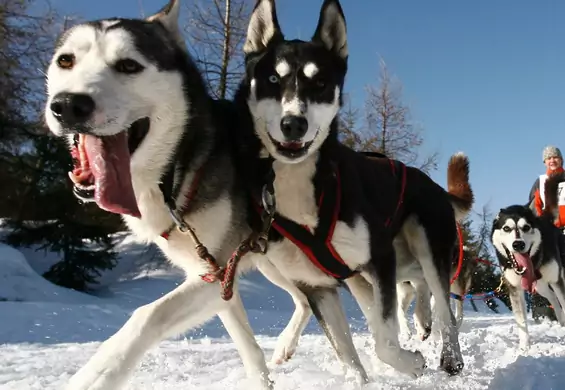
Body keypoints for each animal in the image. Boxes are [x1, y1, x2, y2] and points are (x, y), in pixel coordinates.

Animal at [42, 1, 316, 388]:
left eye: (129, 65)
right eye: (65, 61)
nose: (67, 105)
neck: (174, 172)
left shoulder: (215, 275)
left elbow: (146, 315)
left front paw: (99, 373)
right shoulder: (217, 278)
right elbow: (249, 351)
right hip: (271, 263)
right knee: (304, 300)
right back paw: (285, 345)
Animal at [236, 0, 474, 380]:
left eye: (320, 82)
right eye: (273, 78)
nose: (293, 124)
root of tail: (432, 183)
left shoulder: (378, 258)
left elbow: (385, 342)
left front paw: (411, 361)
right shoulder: (318, 286)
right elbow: (349, 356)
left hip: (423, 245)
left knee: (443, 309)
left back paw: (449, 355)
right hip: (379, 270)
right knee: (413, 290)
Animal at [490, 203, 564, 348]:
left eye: (526, 227)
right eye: (506, 228)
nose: (518, 244)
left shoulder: (556, 280)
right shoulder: (515, 288)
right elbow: (521, 321)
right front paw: (524, 348)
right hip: (540, 287)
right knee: (552, 298)